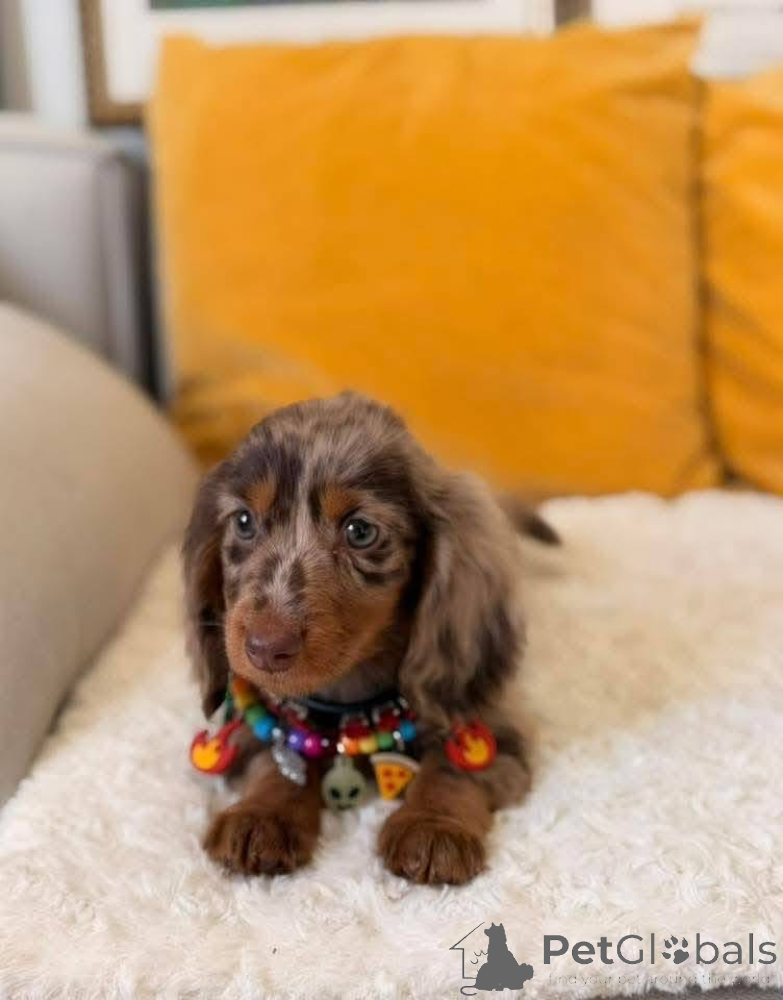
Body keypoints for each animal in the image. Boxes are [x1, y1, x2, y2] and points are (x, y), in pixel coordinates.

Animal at [183, 392, 558, 884]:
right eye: (243, 522)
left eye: (360, 531)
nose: (264, 648)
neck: (347, 702)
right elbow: (277, 760)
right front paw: (262, 816)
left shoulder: (497, 734)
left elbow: (453, 769)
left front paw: (431, 826)